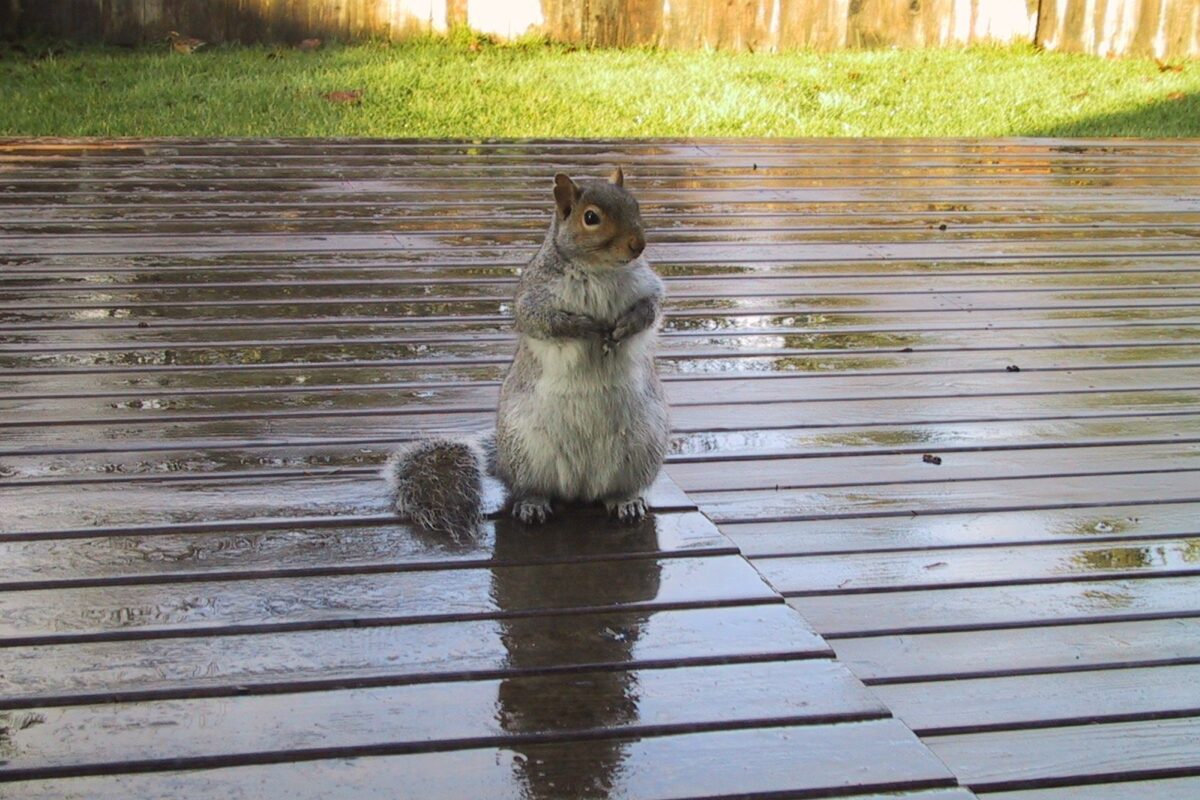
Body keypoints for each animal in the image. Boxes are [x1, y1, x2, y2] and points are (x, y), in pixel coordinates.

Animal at [384, 167, 669, 534]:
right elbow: (542, 321)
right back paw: (532, 504)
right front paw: (584, 327)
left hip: (642, 448)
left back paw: (625, 500)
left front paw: (626, 325)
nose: (639, 245)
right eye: (591, 217)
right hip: (527, 453)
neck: (600, 270)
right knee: (531, 488)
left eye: (635, 204)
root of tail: (581, 489)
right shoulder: (533, 297)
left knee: (615, 490)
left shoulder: (647, 286)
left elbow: (651, 308)